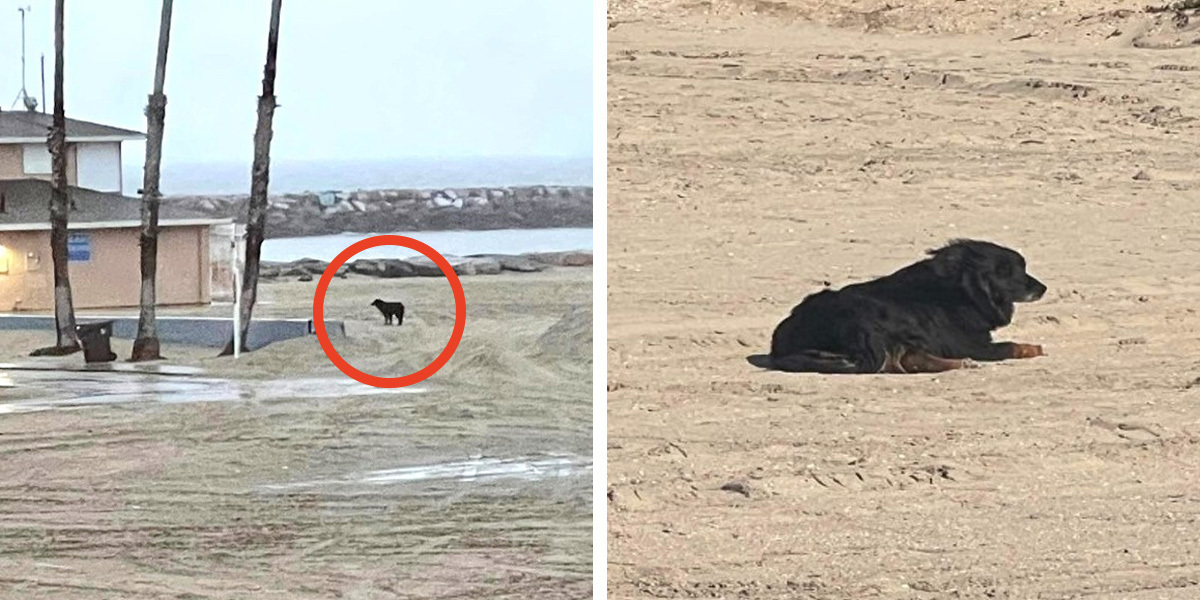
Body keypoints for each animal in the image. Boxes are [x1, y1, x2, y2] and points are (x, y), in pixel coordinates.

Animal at [772, 236, 1046, 372]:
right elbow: (1009, 346)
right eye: (1007, 272)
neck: (959, 290)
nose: (1042, 288)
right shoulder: (971, 344)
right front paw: (1032, 347)